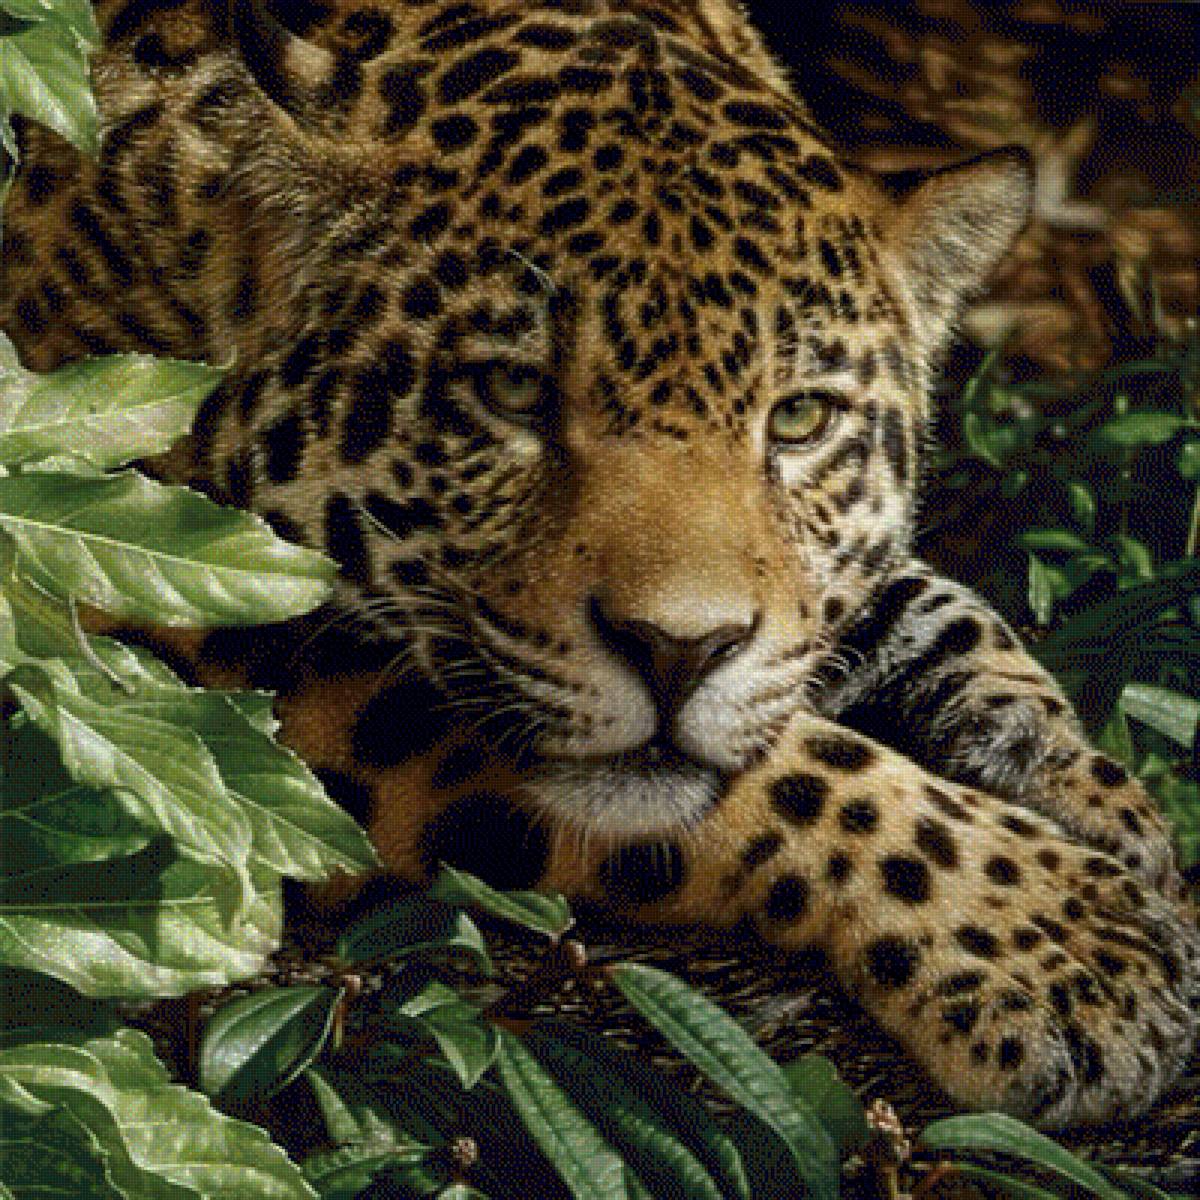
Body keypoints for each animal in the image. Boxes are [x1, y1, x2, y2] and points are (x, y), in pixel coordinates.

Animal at [2, 0, 1196, 1129]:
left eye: (799, 420)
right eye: (512, 393)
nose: (678, 654)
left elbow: (932, 612)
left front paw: (1093, 799)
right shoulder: (196, 619)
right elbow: (789, 773)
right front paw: (1056, 937)